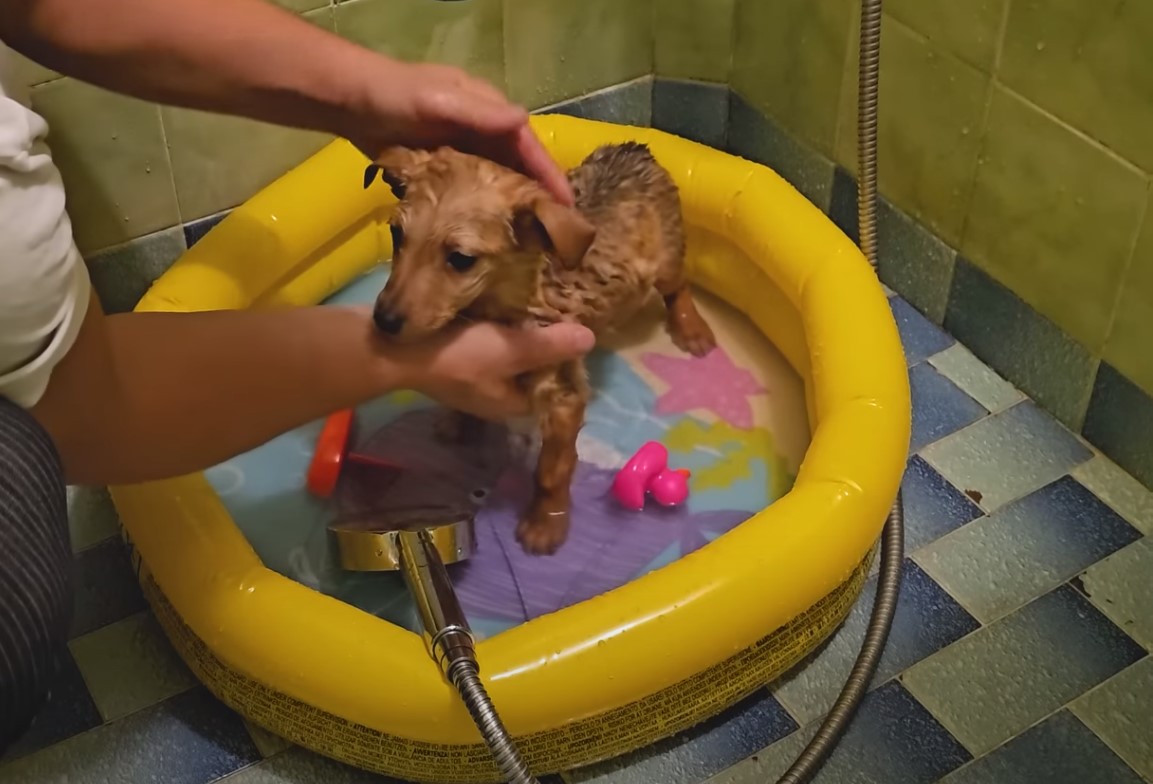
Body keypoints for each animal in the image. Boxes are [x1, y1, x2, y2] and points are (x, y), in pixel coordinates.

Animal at [364, 142, 714, 558]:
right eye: (396, 233)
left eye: (462, 259)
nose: (383, 320)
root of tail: (634, 148)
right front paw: (459, 421)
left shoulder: (563, 395)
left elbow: (551, 471)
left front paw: (545, 524)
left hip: (665, 255)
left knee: (678, 287)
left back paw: (693, 330)